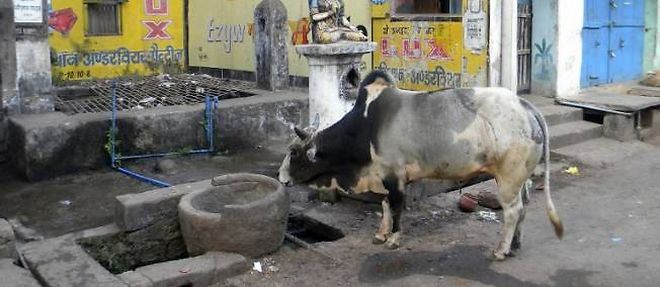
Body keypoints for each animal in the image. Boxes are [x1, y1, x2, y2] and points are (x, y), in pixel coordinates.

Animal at [278, 70, 564, 260]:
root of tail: (525, 105)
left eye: (293, 152)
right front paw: (381, 234)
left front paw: (393, 238)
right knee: (524, 205)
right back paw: (514, 245)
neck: (366, 126)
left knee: (513, 211)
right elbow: (385, 206)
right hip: (519, 178)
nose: (280, 176)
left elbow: (395, 207)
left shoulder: (394, 176)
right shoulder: (385, 176)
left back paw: (501, 250)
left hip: (508, 179)